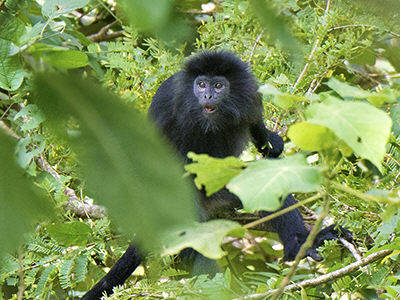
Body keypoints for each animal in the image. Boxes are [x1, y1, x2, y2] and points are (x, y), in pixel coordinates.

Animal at [83, 51, 352, 300]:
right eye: (201, 84)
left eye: (219, 85)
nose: (207, 96)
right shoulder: (169, 98)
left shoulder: (250, 95)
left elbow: (256, 126)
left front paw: (271, 142)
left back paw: (300, 246)